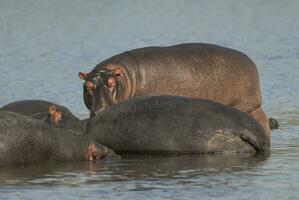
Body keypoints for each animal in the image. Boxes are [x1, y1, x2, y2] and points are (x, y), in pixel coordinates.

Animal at [78, 42, 270, 135]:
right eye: (87, 86)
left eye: (111, 83)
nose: (101, 110)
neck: (124, 77)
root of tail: (252, 63)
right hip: (253, 107)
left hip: (244, 105)